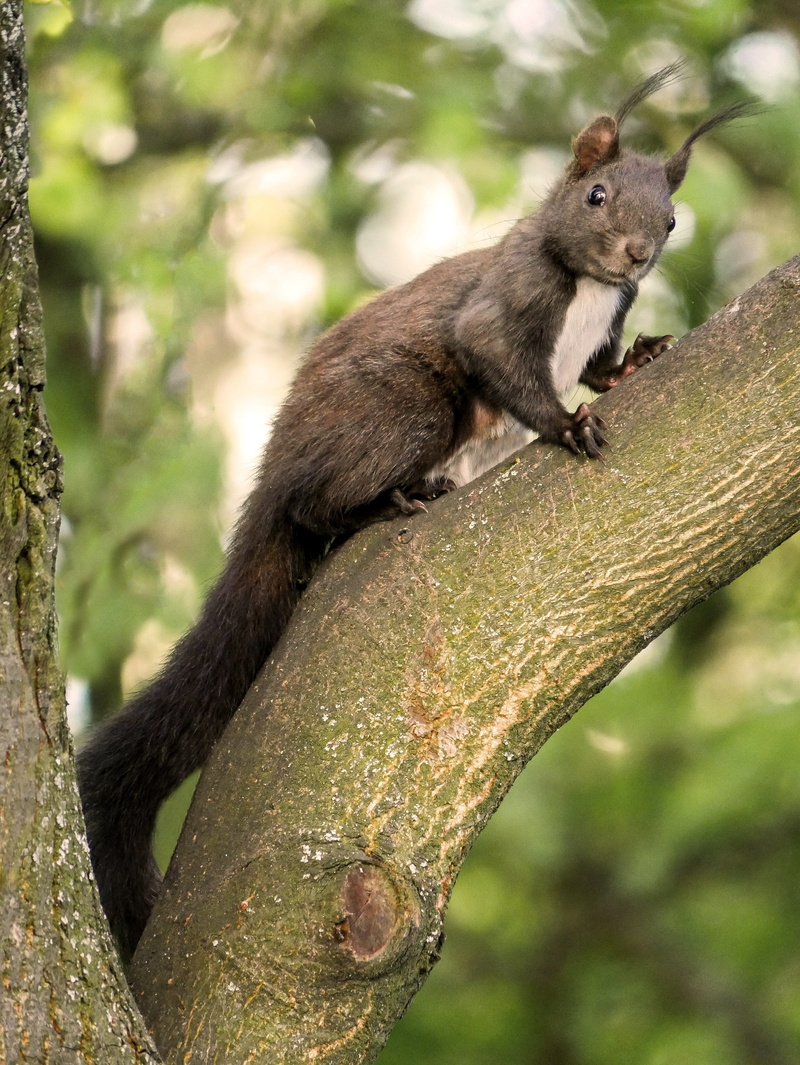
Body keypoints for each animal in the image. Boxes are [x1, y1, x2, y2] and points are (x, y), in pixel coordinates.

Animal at [77, 63, 756, 961]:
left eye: (672, 218)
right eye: (597, 194)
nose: (637, 254)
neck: (587, 288)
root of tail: (278, 461)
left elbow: (601, 364)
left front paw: (638, 357)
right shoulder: (499, 310)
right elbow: (504, 362)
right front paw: (567, 423)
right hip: (408, 410)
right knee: (310, 506)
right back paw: (387, 499)